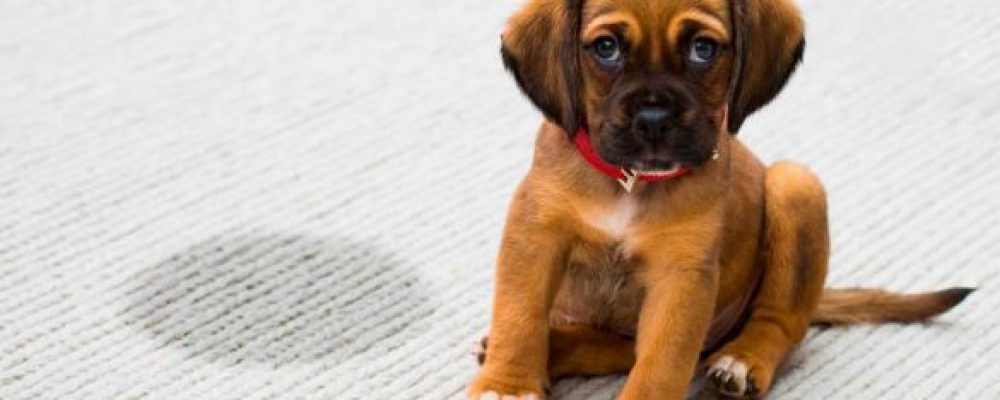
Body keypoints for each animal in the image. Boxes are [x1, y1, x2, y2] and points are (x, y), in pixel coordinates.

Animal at [467, 0, 974, 398]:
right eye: (606, 48)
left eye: (703, 49)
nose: (654, 120)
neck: (630, 183)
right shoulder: (535, 236)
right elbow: (520, 315)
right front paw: (509, 383)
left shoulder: (681, 278)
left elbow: (662, 364)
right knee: (614, 347)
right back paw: (550, 347)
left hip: (795, 186)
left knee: (781, 322)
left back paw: (743, 360)